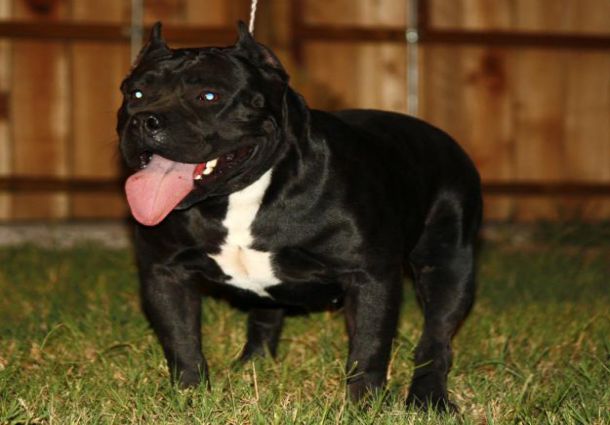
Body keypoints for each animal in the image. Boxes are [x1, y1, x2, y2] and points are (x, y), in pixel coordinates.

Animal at [116, 21, 480, 410]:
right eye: (134, 93)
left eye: (209, 96)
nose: (144, 120)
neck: (241, 195)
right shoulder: (165, 272)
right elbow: (182, 341)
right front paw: (190, 396)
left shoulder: (371, 277)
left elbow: (368, 348)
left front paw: (362, 405)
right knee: (265, 316)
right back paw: (254, 365)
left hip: (448, 268)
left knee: (436, 337)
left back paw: (430, 398)